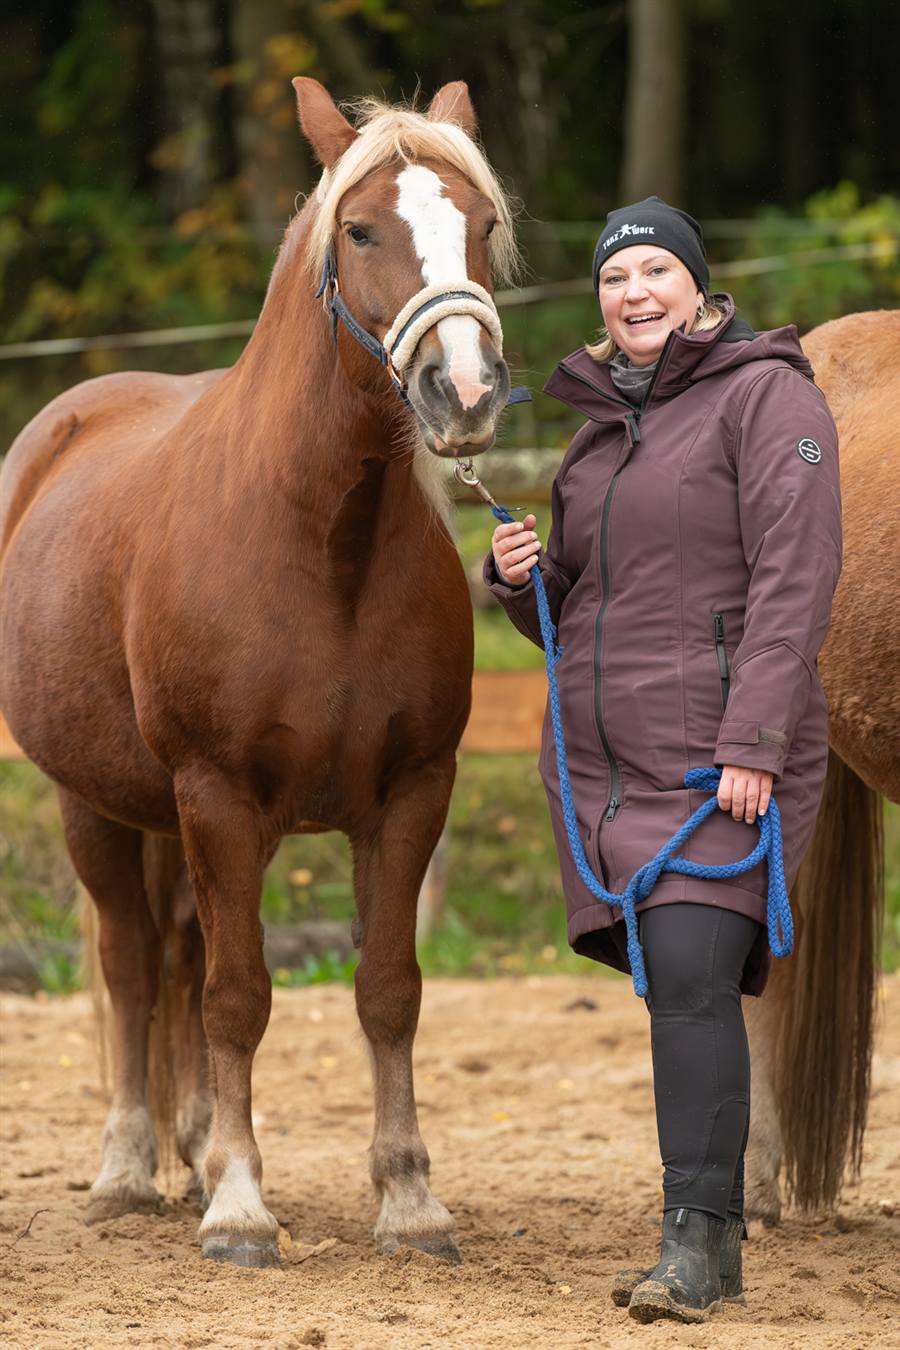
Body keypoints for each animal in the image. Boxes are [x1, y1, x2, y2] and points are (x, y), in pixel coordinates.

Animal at [0, 78, 521, 1268]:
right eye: (360, 230)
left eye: (482, 223)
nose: (465, 389)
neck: (321, 544)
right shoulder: (219, 794)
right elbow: (237, 997)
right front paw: (240, 1205)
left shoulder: (409, 793)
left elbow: (386, 991)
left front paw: (409, 1199)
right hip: (98, 805)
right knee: (136, 966)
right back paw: (130, 1168)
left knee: (182, 960)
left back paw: (190, 1148)